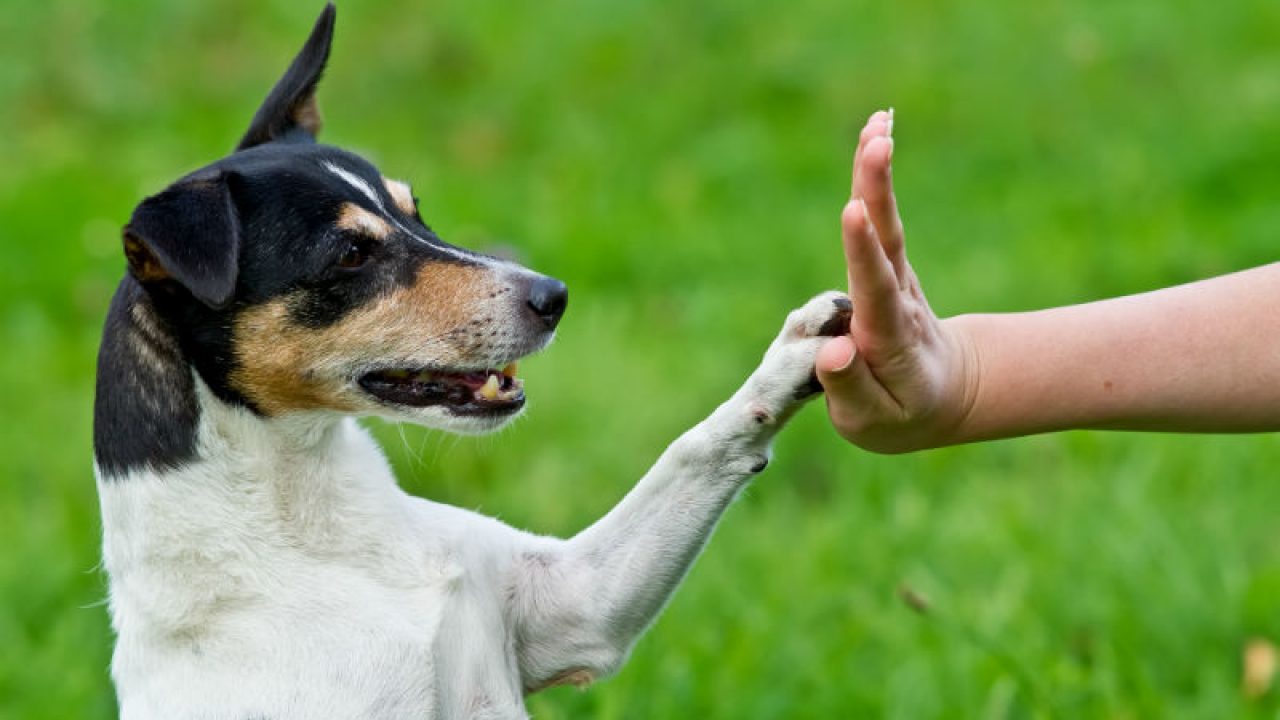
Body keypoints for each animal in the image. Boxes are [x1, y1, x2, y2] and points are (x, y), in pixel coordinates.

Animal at [90, 4, 849, 712]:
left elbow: (695, 448)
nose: (554, 296)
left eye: (414, 210)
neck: (313, 528)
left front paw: (796, 355)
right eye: (351, 253)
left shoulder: (576, 605)